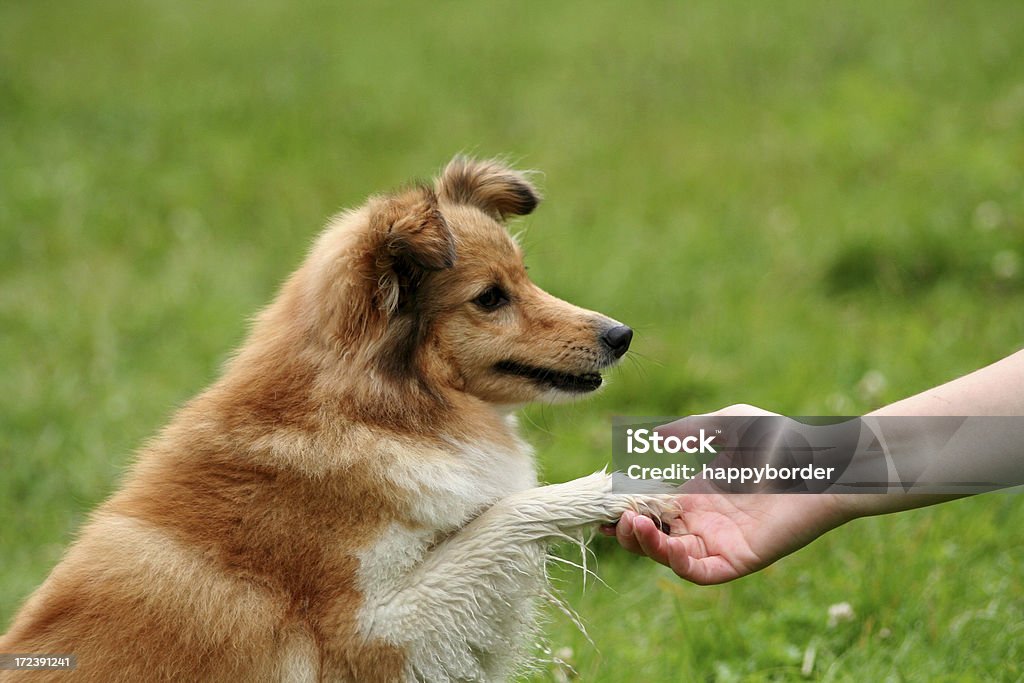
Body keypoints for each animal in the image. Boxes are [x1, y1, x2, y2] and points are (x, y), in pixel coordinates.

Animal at [0, 157, 667, 679]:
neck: (369, 414)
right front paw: (632, 487)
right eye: (490, 298)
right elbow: (506, 515)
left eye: (526, 279)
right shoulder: (374, 634)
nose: (622, 335)